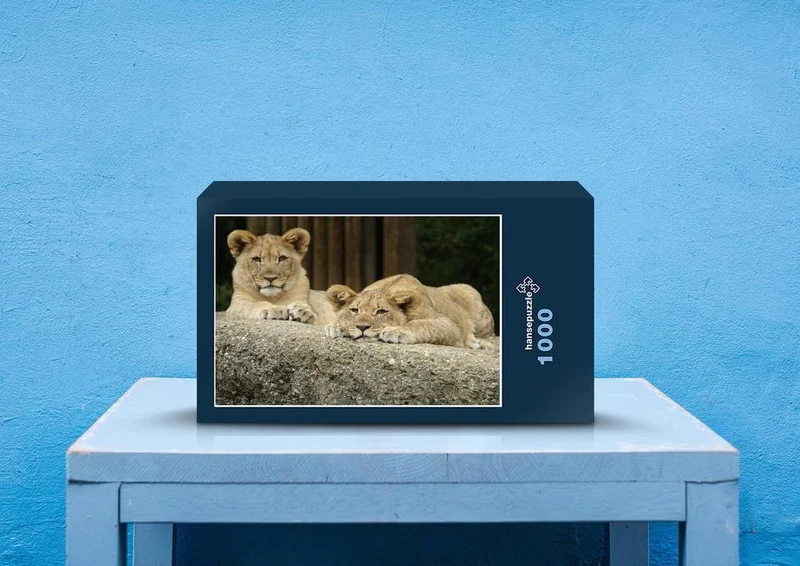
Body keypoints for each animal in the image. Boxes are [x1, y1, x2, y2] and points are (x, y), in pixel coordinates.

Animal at [324, 274, 496, 349]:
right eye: (354, 310)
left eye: (381, 311)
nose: (362, 327)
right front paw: (336, 326)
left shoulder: (448, 324)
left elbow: (421, 324)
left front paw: (397, 331)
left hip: (470, 294)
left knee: (491, 337)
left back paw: (477, 343)